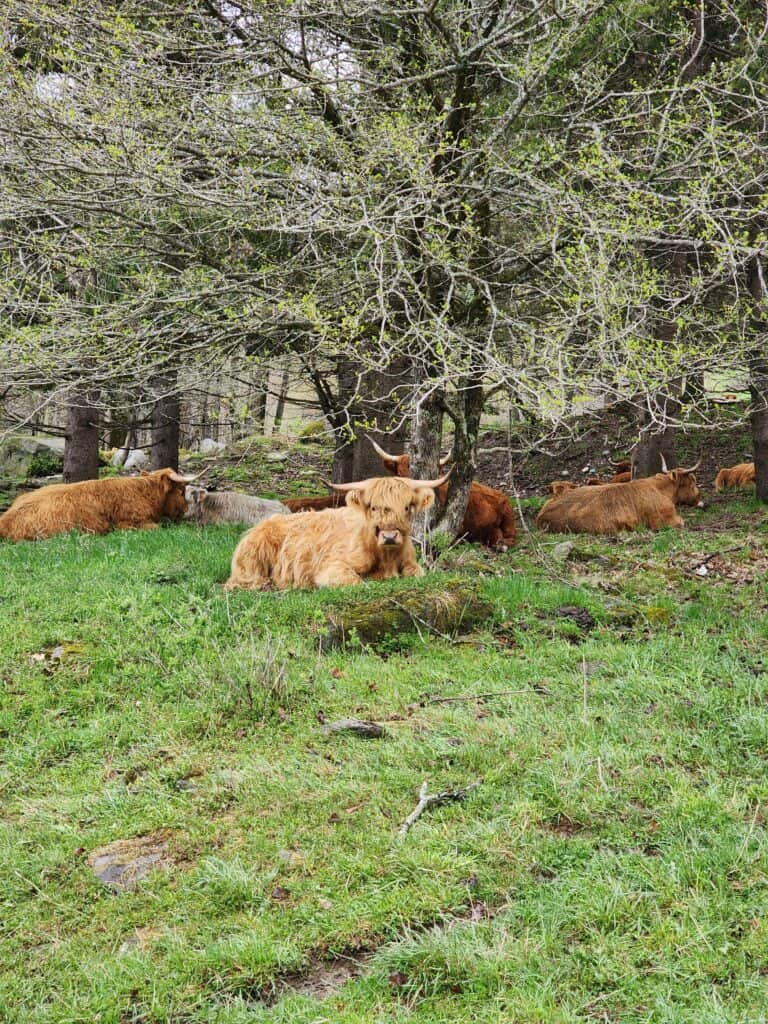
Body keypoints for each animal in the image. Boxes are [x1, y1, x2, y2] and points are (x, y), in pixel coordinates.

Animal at [224, 471, 450, 593]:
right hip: (250, 565)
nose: (389, 537)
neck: (387, 559)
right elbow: (357, 582)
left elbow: (417, 573)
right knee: (239, 583)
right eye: (373, 507)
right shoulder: (332, 567)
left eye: (407, 507)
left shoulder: (412, 565)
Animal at [536, 458, 708, 532]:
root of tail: (541, 516)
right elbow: (682, 521)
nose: (700, 500)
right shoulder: (667, 521)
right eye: (693, 480)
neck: (660, 489)